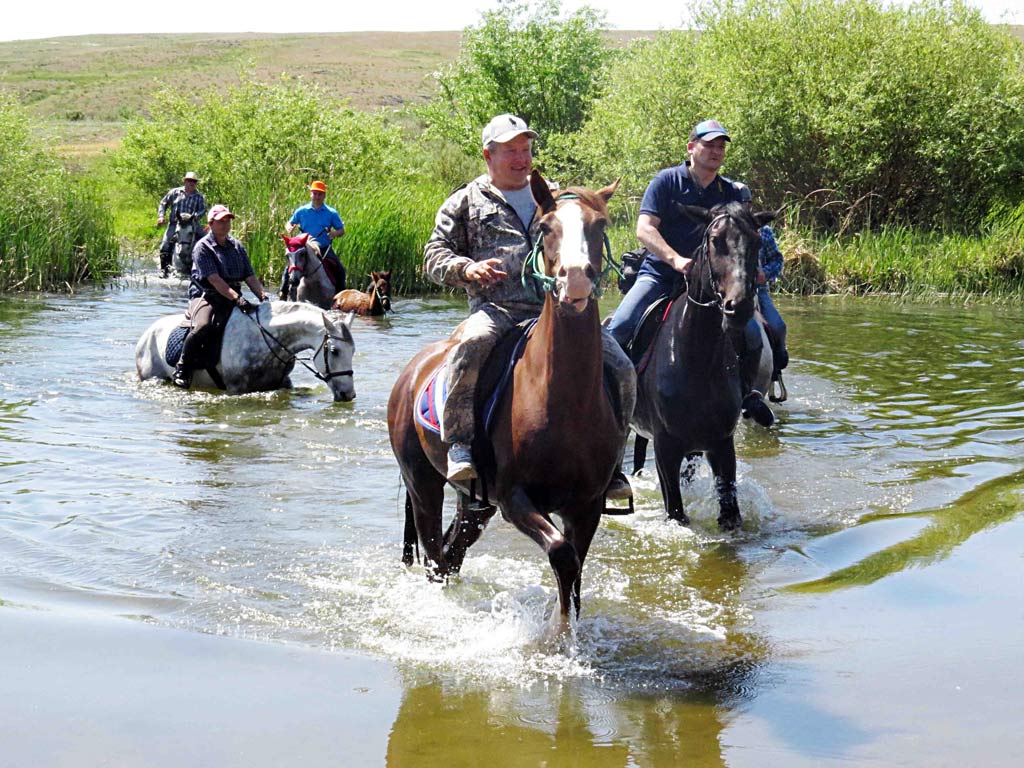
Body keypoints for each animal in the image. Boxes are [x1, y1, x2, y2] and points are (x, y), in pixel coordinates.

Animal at [385, 171, 630, 626]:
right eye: (546, 227)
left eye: (599, 224)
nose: (576, 278)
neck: (565, 402)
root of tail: (412, 373)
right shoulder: (516, 499)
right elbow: (562, 556)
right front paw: (557, 635)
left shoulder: (586, 505)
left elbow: (575, 574)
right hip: (423, 485)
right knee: (434, 556)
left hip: (475, 503)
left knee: (452, 552)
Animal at [630, 201, 774, 532]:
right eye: (715, 241)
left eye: (756, 242)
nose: (740, 307)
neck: (696, 357)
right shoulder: (665, 448)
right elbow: (676, 511)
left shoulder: (720, 444)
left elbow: (730, 510)